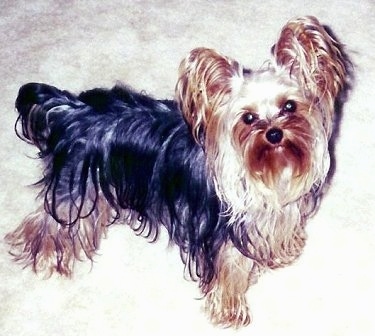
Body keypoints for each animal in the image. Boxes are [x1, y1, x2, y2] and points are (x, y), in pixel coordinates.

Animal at [5, 16, 350, 328]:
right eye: (248, 118)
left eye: (289, 106)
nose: (275, 134)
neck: (271, 170)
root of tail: (74, 111)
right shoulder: (221, 232)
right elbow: (230, 268)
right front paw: (230, 310)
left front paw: (281, 252)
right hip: (78, 183)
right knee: (52, 221)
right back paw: (43, 255)